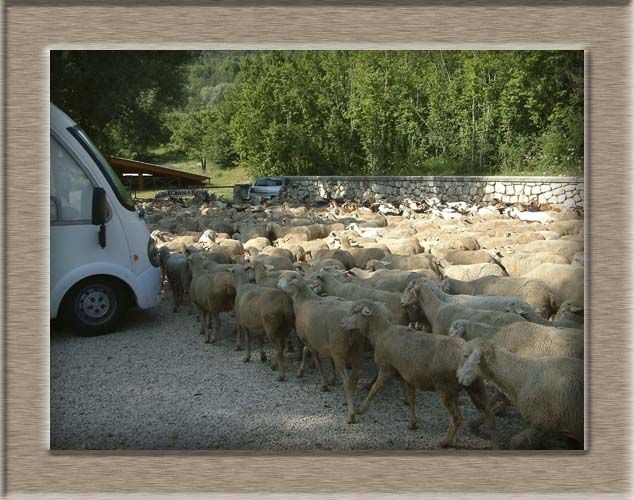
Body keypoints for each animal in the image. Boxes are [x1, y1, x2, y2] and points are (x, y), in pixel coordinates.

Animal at [278, 276, 366, 424]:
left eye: (289, 280)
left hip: (340, 350)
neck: (303, 301)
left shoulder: (310, 341)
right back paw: (348, 402)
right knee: (355, 376)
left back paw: (351, 415)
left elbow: (317, 362)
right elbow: (313, 355)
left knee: (348, 381)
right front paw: (304, 372)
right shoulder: (320, 343)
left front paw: (324, 384)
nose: (277, 282)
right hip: (355, 350)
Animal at [340, 298, 498, 448]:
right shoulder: (406, 375)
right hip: (475, 385)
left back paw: (445, 442)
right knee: (489, 414)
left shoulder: (387, 369)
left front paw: (360, 410)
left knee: (457, 418)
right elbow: (411, 399)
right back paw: (494, 443)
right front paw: (413, 423)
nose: (342, 324)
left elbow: (374, 390)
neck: (381, 333)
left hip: (445, 388)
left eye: (354, 312)